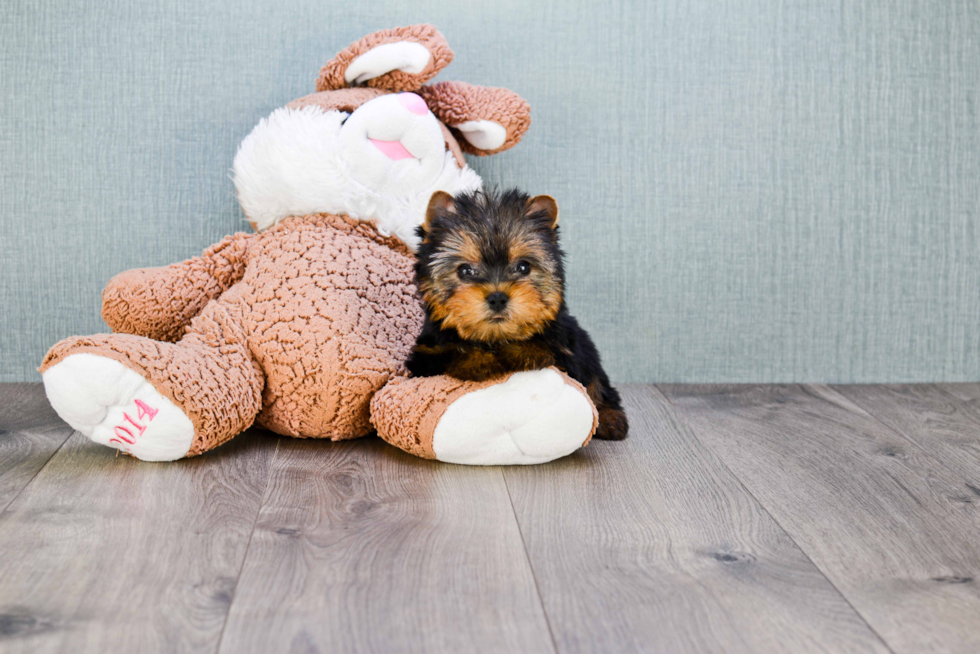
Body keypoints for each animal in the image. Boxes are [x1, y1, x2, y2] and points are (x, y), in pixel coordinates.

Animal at [404, 187, 628, 440]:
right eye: (464, 271)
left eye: (523, 267)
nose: (497, 297)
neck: (497, 338)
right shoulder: (425, 355)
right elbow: (451, 352)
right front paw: (477, 361)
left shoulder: (566, 347)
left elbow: (545, 347)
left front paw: (523, 353)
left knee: (597, 381)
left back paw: (611, 417)